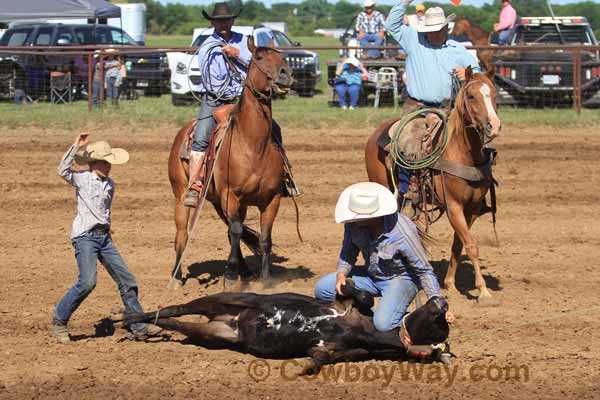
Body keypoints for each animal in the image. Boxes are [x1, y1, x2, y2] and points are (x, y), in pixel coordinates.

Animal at [168, 39, 294, 290]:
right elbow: (236, 231)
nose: (286, 74)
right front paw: (230, 278)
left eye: (281, 56)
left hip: (222, 202)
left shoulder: (272, 199)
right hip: (182, 193)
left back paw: (244, 270)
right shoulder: (231, 196)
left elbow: (264, 238)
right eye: (259, 58)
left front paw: (265, 280)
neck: (252, 145)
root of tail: (182, 133)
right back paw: (176, 277)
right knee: (182, 234)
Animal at [366, 67, 502, 304]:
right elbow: (472, 245)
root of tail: (376, 133)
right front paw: (483, 290)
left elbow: (459, 244)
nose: (493, 126)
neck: (463, 153)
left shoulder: (472, 209)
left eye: (494, 94)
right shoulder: (453, 206)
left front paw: (450, 285)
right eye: (471, 96)